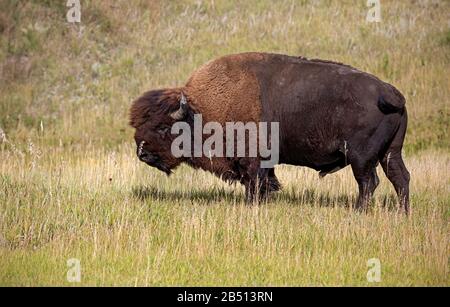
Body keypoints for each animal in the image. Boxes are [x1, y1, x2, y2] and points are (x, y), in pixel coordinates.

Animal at [128, 51, 410, 213]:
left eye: (163, 127)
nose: (142, 154)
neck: (198, 112)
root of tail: (389, 92)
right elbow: (264, 184)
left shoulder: (252, 161)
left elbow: (254, 184)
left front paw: (251, 207)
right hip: (390, 153)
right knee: (400, 178)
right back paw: (402, 213)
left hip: (361, 157)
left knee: (368, 182)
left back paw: (359, 212)